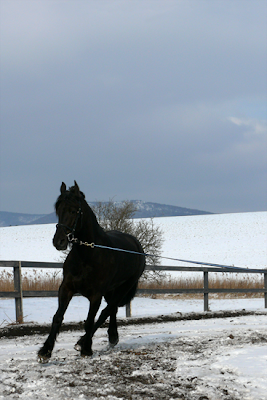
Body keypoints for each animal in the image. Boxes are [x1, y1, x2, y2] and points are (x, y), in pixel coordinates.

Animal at [38, 183, 146, 360]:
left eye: (74, 210)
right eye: (58, 209)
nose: (59, 241)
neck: (87, 255)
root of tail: (136, 245)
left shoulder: (96, 295)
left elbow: (90, 320)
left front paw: (86, 349)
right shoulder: (66, 288)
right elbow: (58, 317)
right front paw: (45, 351)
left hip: (123, 288)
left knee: (106, 312)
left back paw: (83, 342)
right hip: (111, 291)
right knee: (112, 310)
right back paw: (111, 337)